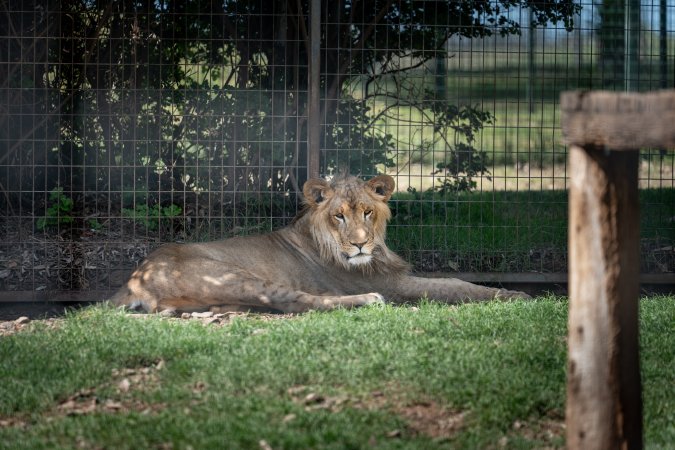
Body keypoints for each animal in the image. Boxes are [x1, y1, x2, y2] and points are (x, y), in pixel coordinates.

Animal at [110, 174, 529, 314]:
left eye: (367, 212)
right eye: (338, 216)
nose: (359, 247)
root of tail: (134, 278)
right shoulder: (390, 282)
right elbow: (453, 285)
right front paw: (516, 296)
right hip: (232, 276)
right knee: (297, 302)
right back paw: (366, 302)